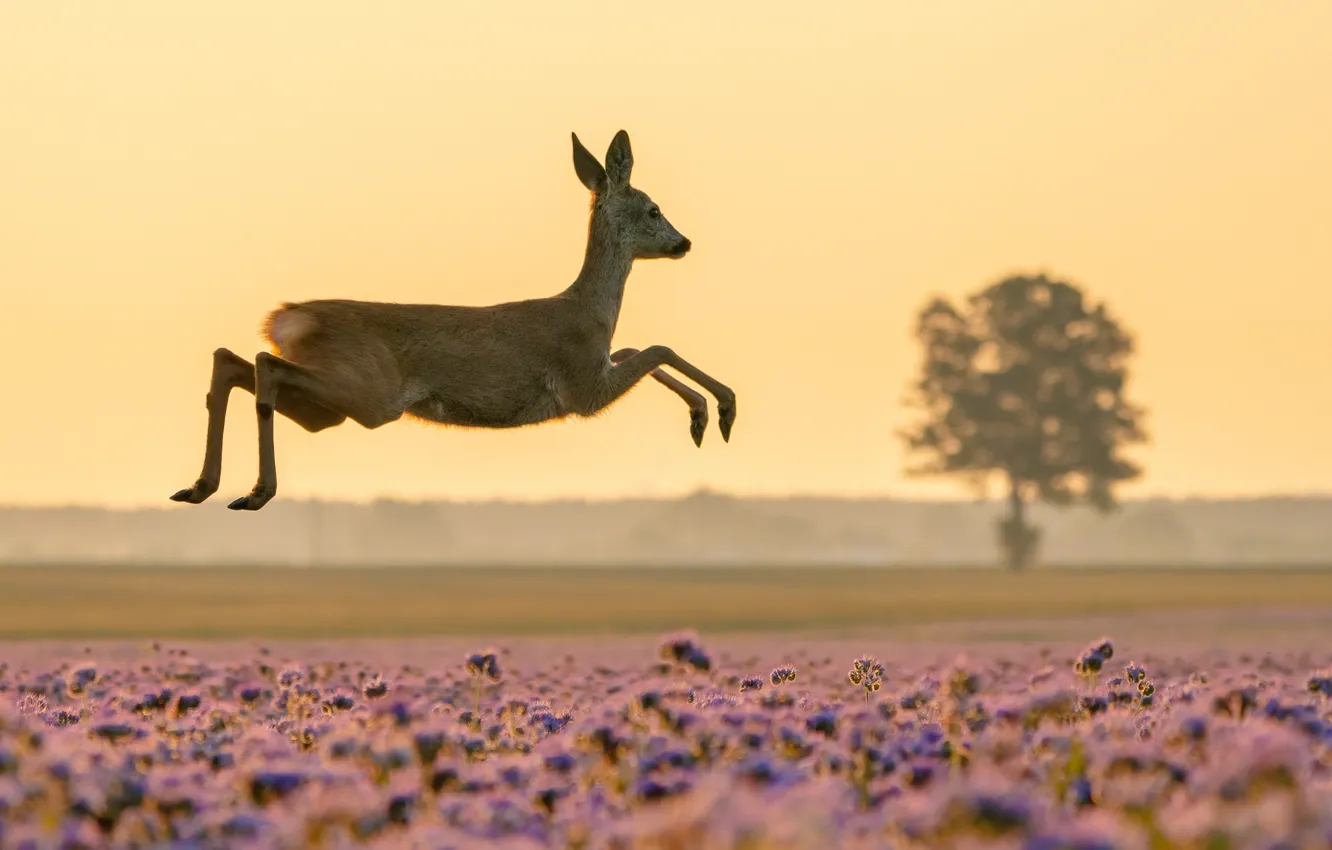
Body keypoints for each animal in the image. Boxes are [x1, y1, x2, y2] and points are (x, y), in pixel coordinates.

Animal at [170, 129, 736, 511]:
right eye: (653, 209)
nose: (683, 243)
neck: (589, 312)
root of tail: (286, 319)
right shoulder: (583, 390)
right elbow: (657, 347)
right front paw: (720, 411)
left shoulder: (596, 371)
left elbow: (639, 348)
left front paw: (702, 417)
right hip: (368, 393)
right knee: (262, 364)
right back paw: (253, 492)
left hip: (330, 409)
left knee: (232, 359)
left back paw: (201, 487)